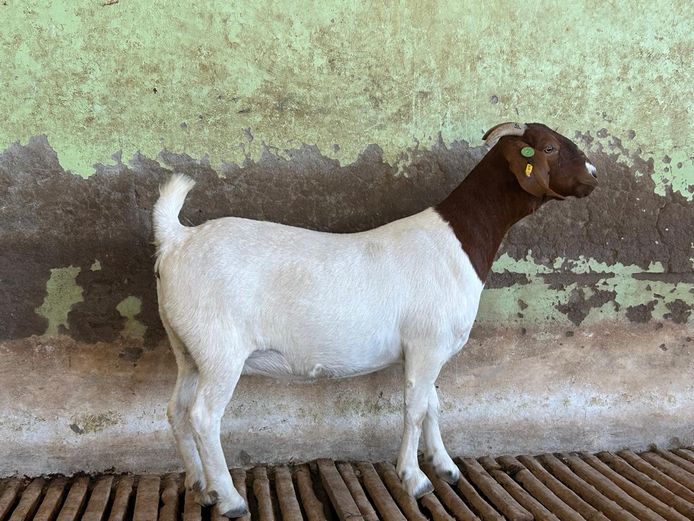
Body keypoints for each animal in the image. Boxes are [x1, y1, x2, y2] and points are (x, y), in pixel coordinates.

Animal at [153, 122, 598, 517]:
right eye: (549, 147)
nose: (594, 175)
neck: (456, 243)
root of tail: (177, 239)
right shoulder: (427, 343)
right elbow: (415, 408)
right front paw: (414, 479)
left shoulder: (427, 349)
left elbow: (433, 402)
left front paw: (446, 466)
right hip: (220, 350)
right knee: (203, 417)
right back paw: (229, 499)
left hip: (186, 348)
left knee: (176, 410)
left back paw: (200, 485)